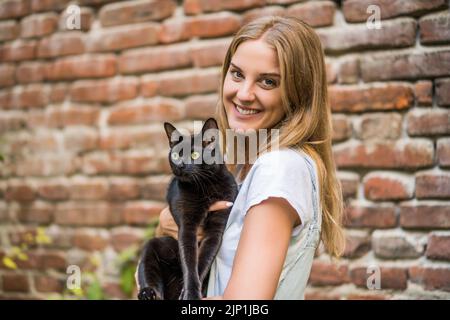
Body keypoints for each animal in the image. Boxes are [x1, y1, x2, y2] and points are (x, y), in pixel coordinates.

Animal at [136, 118, 237, 300]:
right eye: (175, 155)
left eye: (194, 155)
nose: (181, 165)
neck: (205, 186)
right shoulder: (186, 226)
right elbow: (189, 262)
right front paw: (191, 293)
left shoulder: (217, 229)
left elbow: (202, 261)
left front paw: (191, 293)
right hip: (155, 245)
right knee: (147, 273)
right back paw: (148, 293)